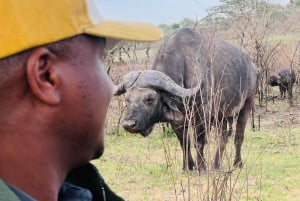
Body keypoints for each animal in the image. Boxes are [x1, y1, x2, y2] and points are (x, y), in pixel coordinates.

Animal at [113, 28, 256, 172]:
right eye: (127, 100)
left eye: (150, 99)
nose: (128, 124)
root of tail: (253, 66)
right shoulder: (177, 122)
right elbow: (184, 142)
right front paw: (187, 166)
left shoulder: (201, 117)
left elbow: (199, 142)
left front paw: (201, 168)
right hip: (222, 115)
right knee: (223, 137)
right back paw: (216, 165)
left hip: (246, 105)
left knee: (238, 136)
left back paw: (237, 163)